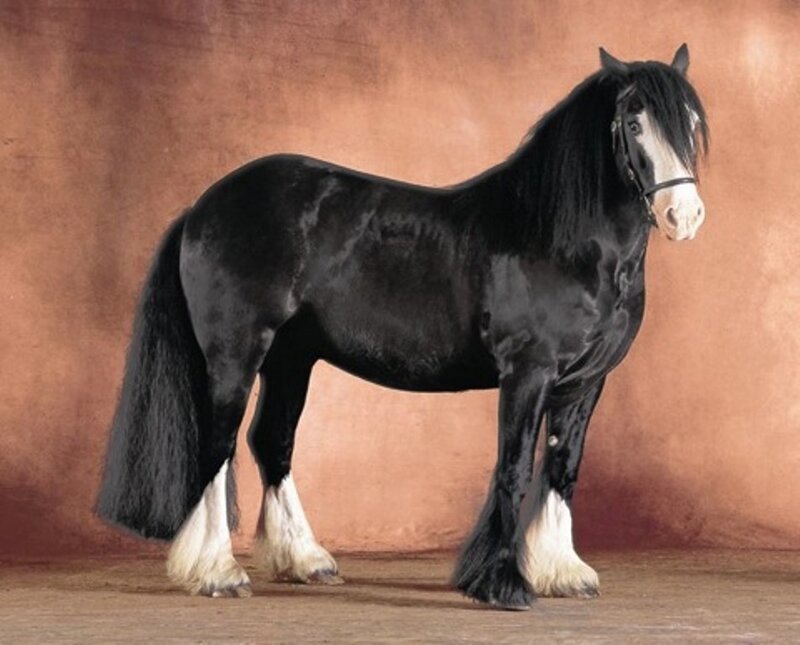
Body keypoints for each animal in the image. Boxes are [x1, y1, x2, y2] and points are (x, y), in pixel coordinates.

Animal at [97, 44, 708, 609]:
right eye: (634, 123)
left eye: (692, 123)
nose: (684, 215)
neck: (560, 241)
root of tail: (203, 206)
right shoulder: (527, 373)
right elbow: (513, 468)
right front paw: (502, 583)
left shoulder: (585, 382)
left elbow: (562, 467)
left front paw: (562, 573)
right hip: (236, 354)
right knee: (218, 446)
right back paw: (218, 572)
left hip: (292, 359)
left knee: (272, 442)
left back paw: (305, 561)